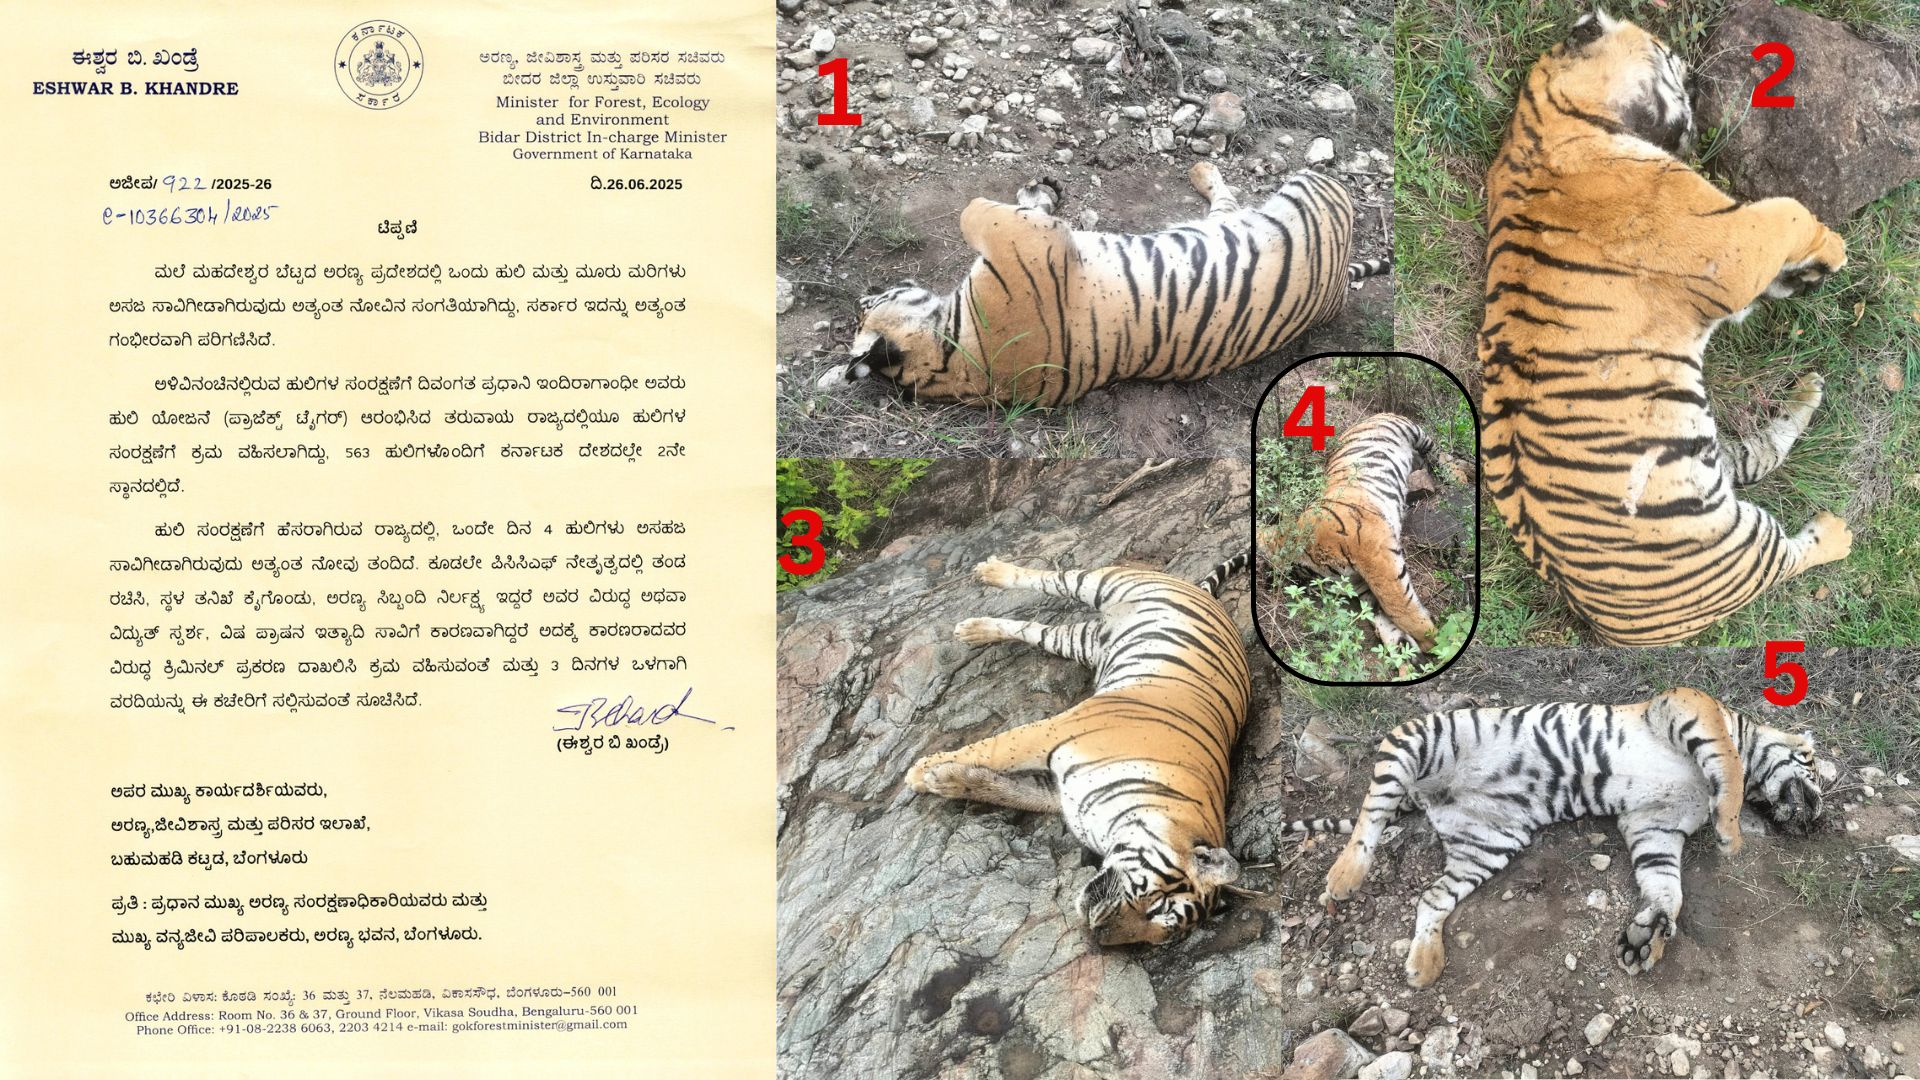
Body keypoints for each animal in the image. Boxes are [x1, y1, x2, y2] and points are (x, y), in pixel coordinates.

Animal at [827, 163, 1385, 406]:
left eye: (868, 304)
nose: (863, 293)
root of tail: (1337, 290)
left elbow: (991, 209)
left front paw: (1041, 192)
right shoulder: (1027, 241)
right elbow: (974, 209)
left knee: (1226, 202)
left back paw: (1199, 167)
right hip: (1311, 187)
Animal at [904, 552, 1252, 946]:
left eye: (1158, 937)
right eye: (1159, 906)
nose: (1098, 934)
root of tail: (1204, 594)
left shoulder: (1058, 793)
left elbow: (1003, 790)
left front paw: (944, 779)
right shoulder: (1052, 732)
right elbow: (993, 750)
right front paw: (919, 772)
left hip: (1079, 641)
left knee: (1034, 630)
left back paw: (974, 630)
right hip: (1103, 583)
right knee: (1046, 578)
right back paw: (990, 572)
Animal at [1259, 413, 1469, 653]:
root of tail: (1370, 416)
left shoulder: (1375, 556)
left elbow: (1397, 606)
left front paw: (1436, 642)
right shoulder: (1359, 583)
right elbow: (1380, 615)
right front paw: (1406, 652)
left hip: (1412, 431)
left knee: (1438, 451)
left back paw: (1458, 476)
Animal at [1288, 688, 1823, 986]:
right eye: (1816, 766)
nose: (1815, 819)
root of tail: (1429, 798)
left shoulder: (1656, 826)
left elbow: (1666, 887)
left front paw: (1648, 938)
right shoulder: (1688, 707)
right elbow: (1727, 765)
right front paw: (1732, 835)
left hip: (1487, 844)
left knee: (1432, 897)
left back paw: (1424, 967)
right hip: (1420, 738)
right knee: (1370, 814)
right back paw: (1344, 877)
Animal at [1478, 9, 1852, 647]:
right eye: (1671, 59)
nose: (1699, 83)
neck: (1542, 119)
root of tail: (1609, 631)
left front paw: (1803, 274)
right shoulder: (1726, 248)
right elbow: (1789, 210)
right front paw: (1832, 248)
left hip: (1712, 466)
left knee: (1763, 451)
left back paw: (1809, 388)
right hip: (1733, 548)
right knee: (1789, 555)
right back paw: (1838, 532)